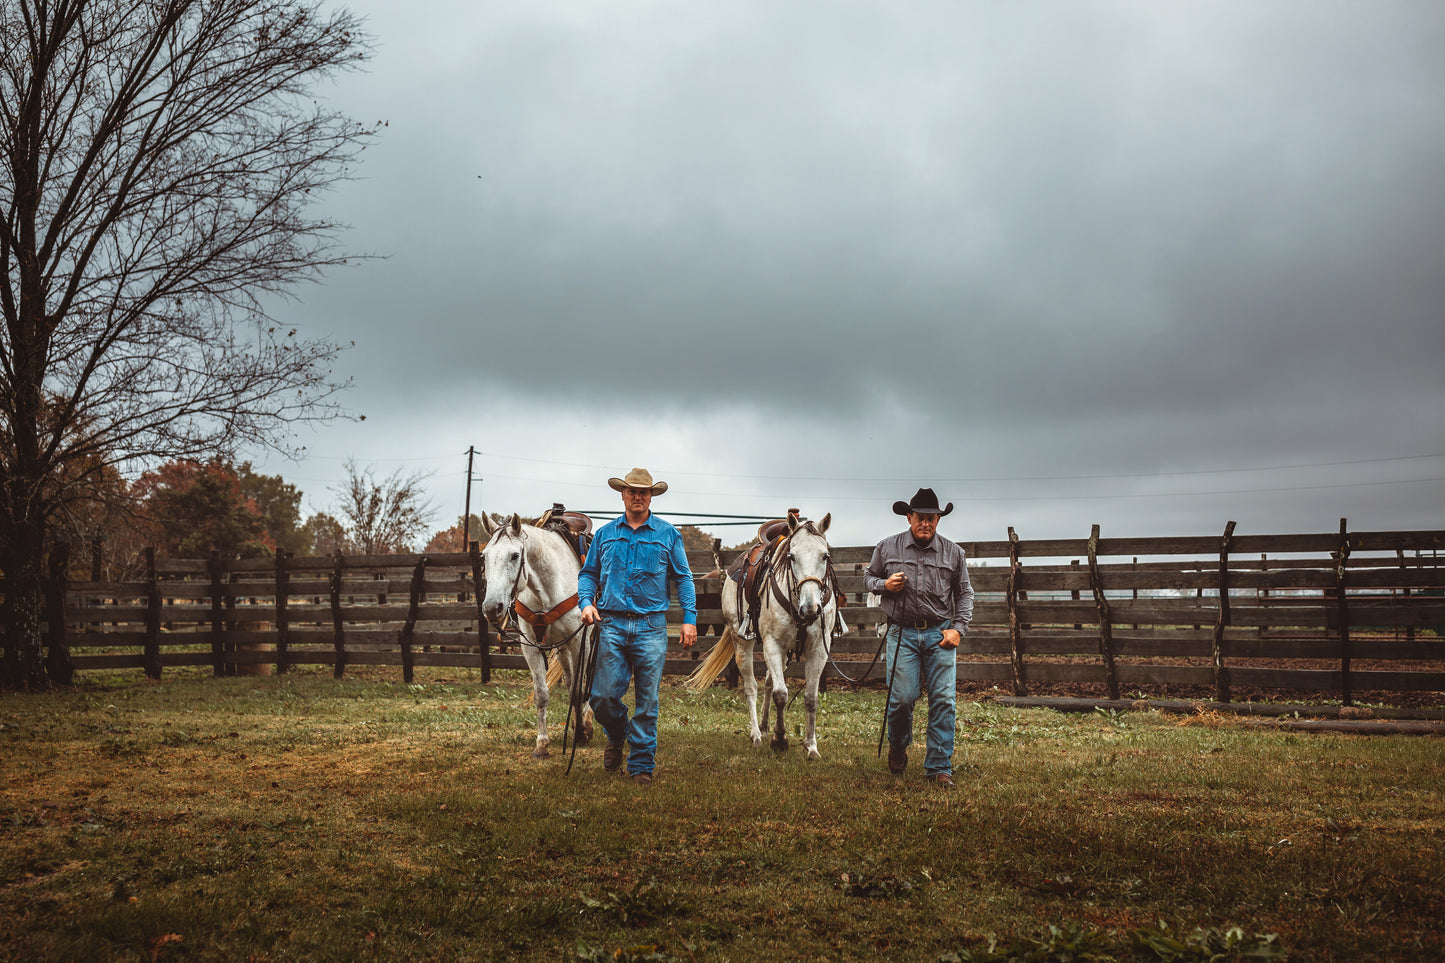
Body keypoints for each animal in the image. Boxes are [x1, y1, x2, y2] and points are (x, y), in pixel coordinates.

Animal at [479, 514, 592, 751]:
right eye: (484, 556)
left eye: (515, 555)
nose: (492, 608)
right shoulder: (530, 645)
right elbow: (542, 693)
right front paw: (542, 742)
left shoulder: (580, 640)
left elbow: (580, 689)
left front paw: (581, 731)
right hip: (561, 646)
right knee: (570, 681)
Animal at [690, 508, 843, 757]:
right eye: (792, 557)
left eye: (825, 556)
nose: (810, 608)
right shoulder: (773, 644)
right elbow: (781, 694)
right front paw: (780, 739)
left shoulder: (819, 648)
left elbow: (810, 697)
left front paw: (811, 746)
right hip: (741, 641)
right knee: (751, 687)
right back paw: (756, 735)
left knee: (769, 683)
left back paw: (763, 725)